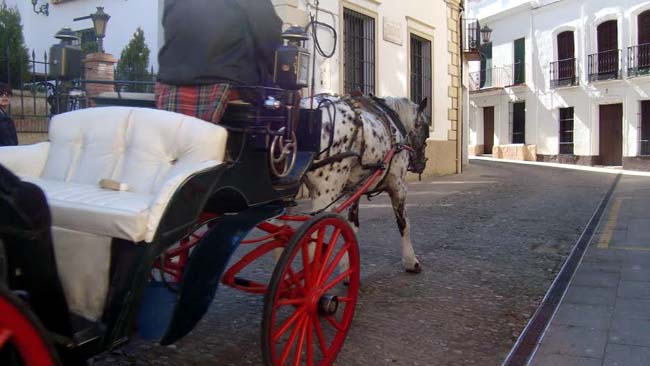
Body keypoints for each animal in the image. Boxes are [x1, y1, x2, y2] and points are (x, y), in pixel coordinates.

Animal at [296, 93, 428, 274]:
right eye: (426, 133)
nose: (422, 164)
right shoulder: (398, 187)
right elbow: (404, 224)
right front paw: (411, 261)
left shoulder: (354, 191)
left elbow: (351, 227)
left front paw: (346, 266)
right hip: (325, 193)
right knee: (310, 241)